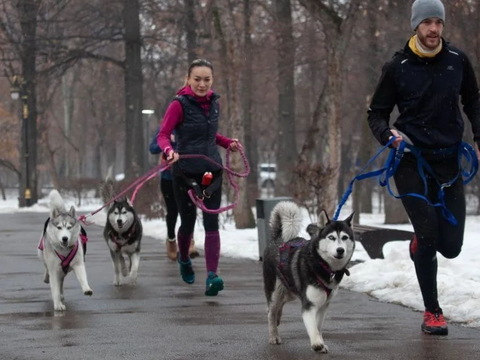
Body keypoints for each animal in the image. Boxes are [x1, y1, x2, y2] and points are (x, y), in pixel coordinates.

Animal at [260, 201, 354, 352]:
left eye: (345, 237)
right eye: (331, 237)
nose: (340, 250)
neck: (325, 266)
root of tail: (277, 238)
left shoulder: (323, 305)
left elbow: (318, 326)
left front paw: (320, 342)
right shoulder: (309, 304)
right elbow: (313, 327)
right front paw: (317, 344)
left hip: (290, 289)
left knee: (280, 304)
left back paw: (278, 317)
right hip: (275, 290)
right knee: (271, 312)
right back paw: (273, 335)